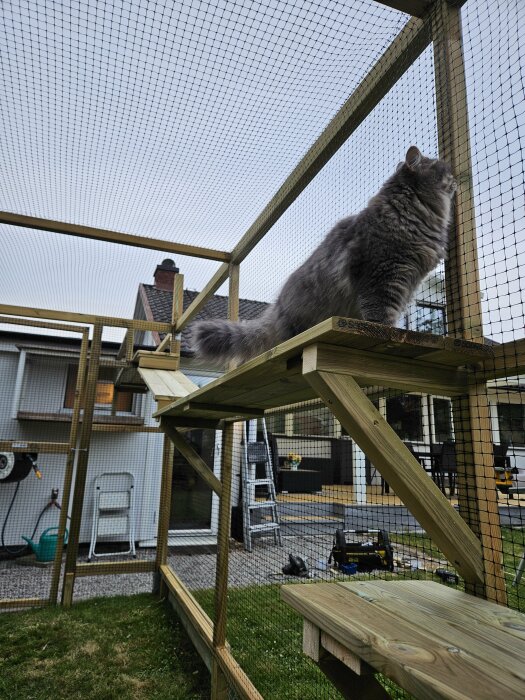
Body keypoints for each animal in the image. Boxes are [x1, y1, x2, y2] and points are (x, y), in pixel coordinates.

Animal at [191, 148, 454, 366]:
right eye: (442, 168)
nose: (455, 179)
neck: (413, 213)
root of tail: (277, 308)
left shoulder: (408, 279)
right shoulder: (383, 274)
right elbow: (381, 312)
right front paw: (389, 331)